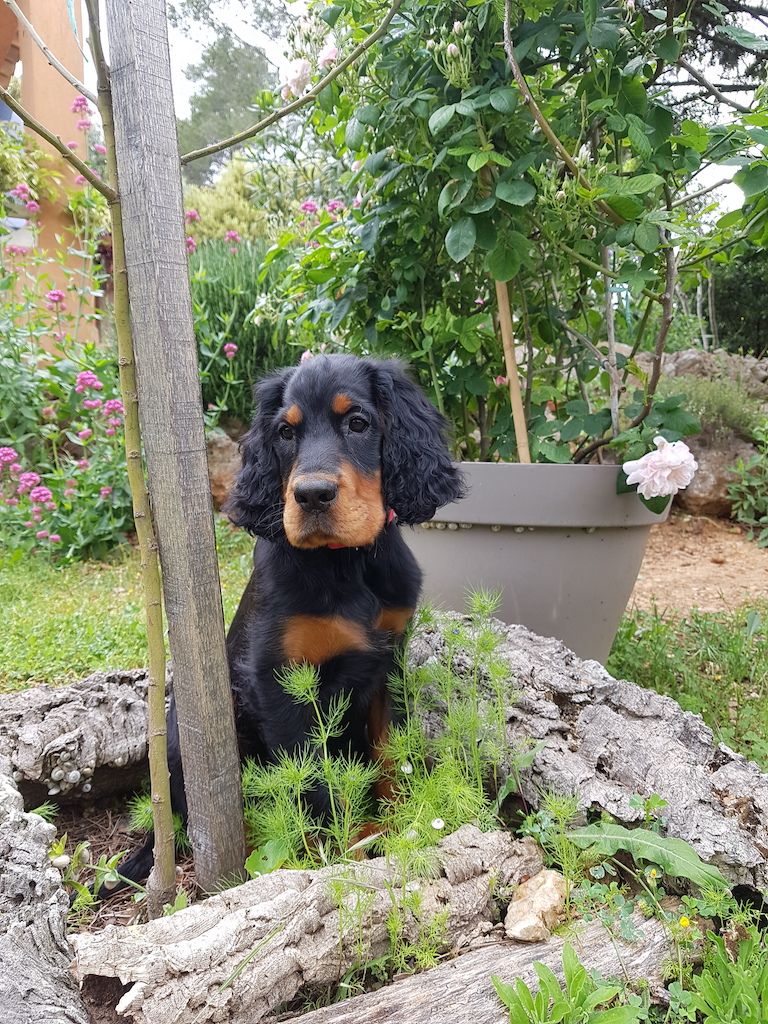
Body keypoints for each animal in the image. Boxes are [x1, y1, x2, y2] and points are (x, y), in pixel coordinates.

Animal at [114, 352, 462, 888]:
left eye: (358, 423)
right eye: (284, 432)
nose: (312, 495)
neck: (345, 562)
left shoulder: (389, 662)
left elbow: (389, 749)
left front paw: (399, 822)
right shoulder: (278, 680)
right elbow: (309, 777)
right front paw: (332, 851)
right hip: (181, 741)